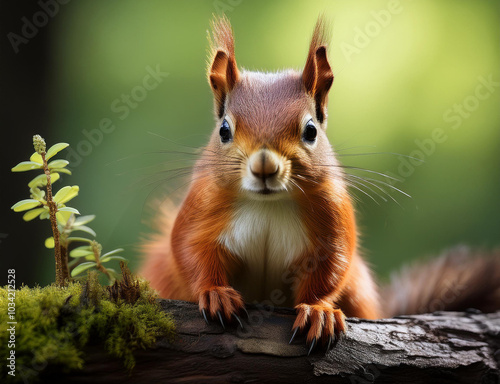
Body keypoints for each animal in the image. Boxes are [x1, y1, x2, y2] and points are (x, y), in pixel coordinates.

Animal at [141, 15, 500, 352]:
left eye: (311, 130)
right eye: (224, 130)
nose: (264, 165)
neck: (268, 205)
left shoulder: (331, 214)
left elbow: (330, 267)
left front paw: (318, 311)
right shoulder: (203, 206)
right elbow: (190, 250)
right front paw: (216, 293)